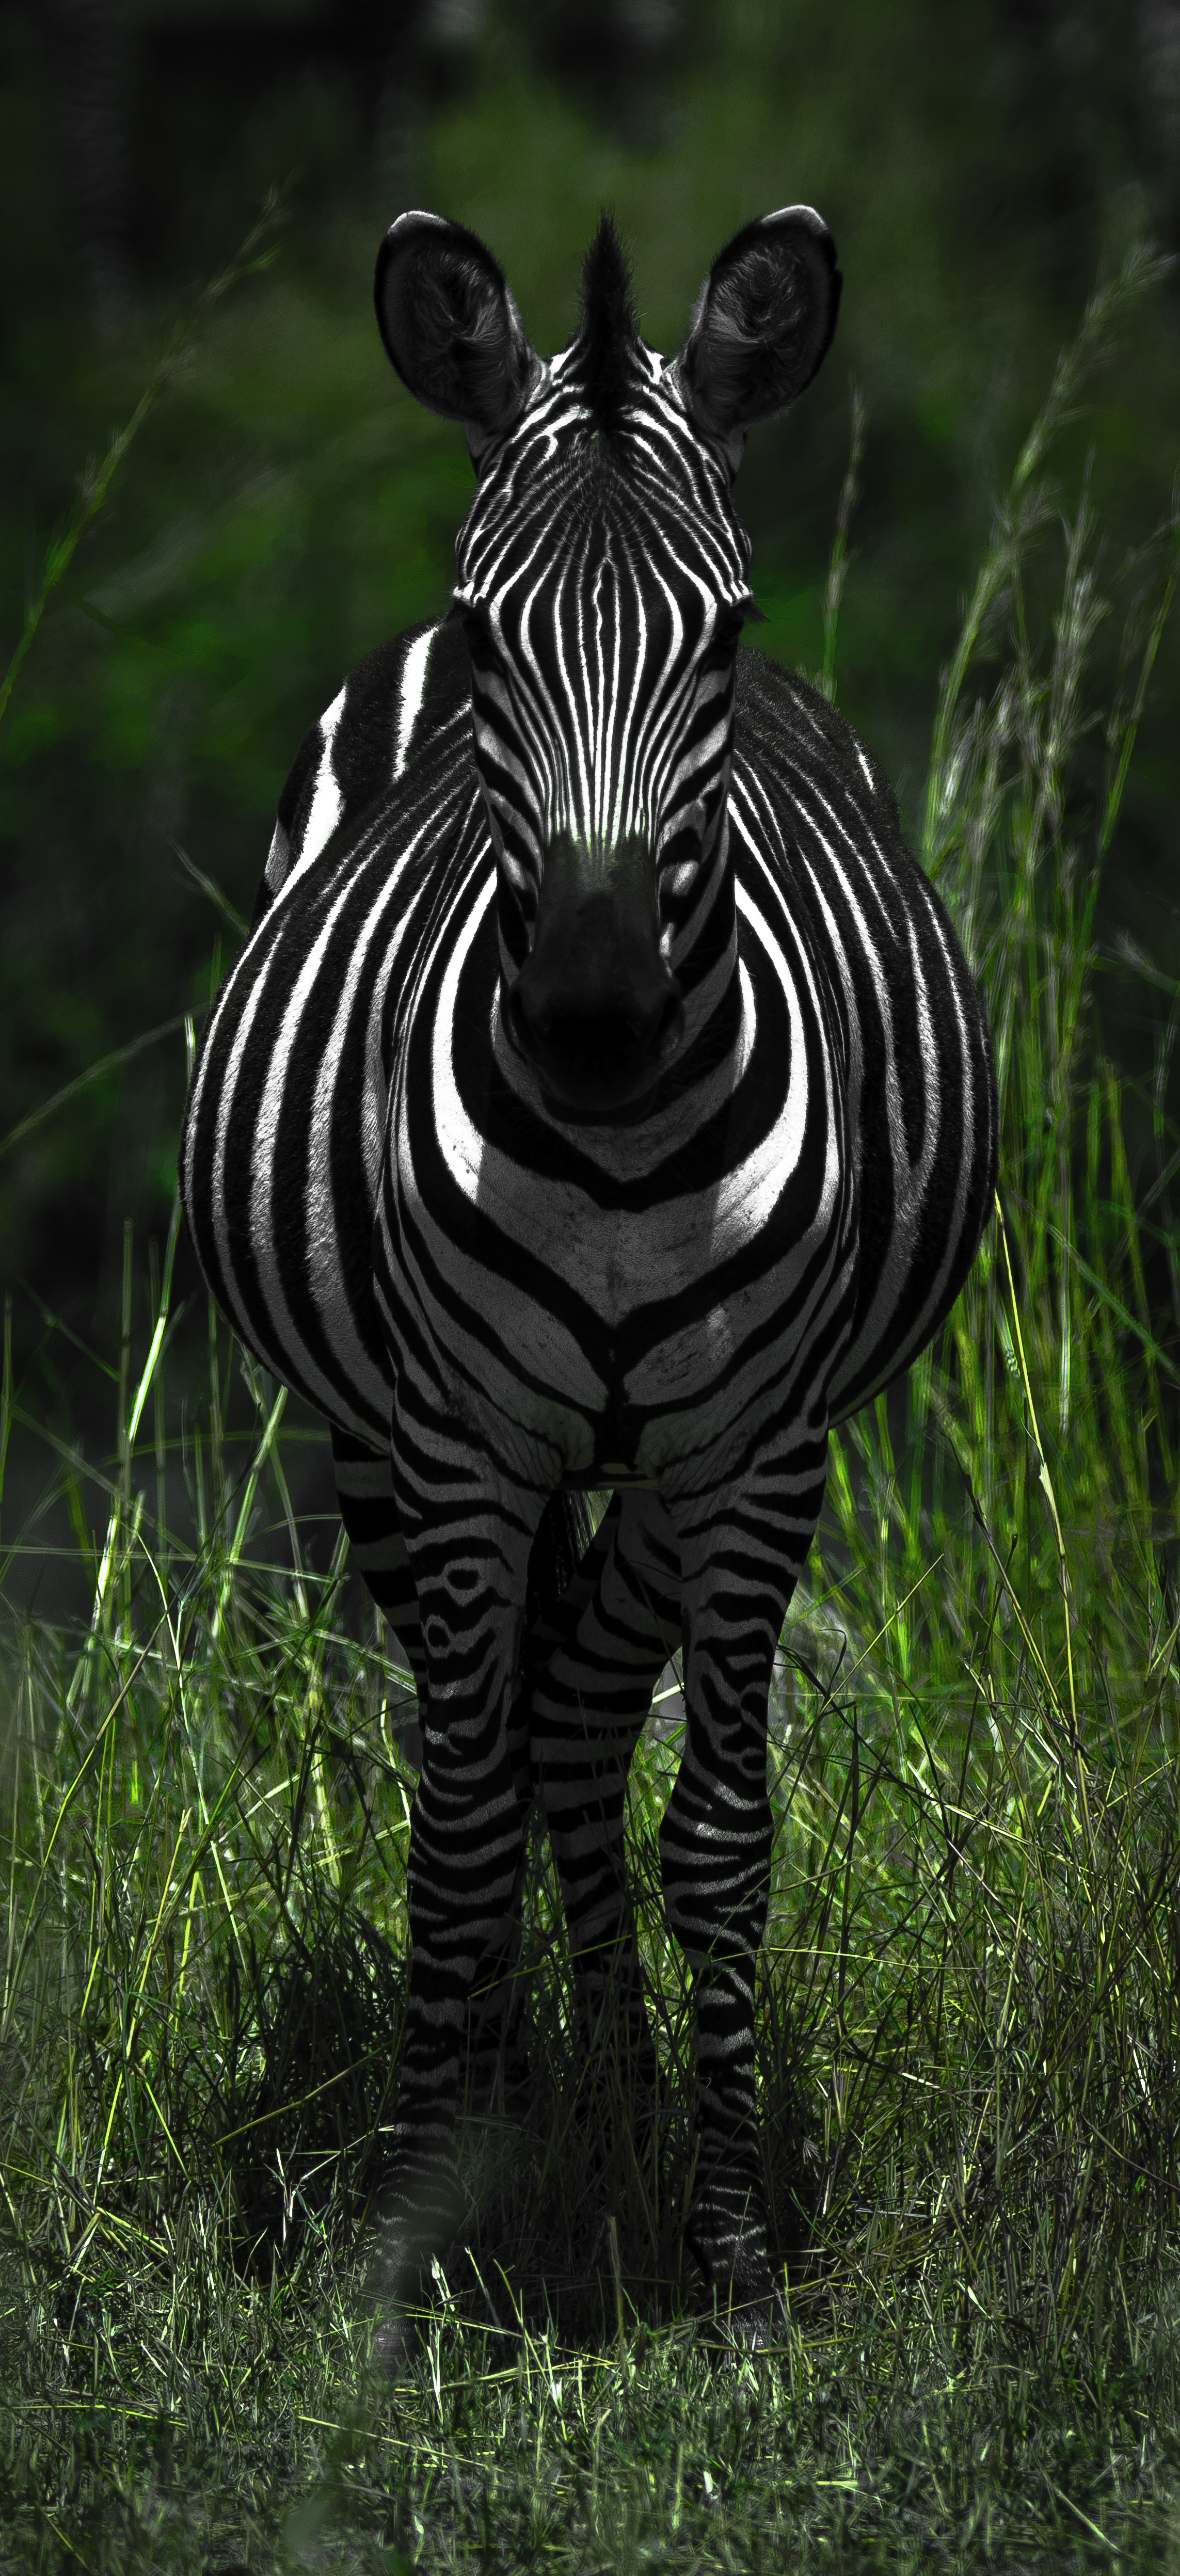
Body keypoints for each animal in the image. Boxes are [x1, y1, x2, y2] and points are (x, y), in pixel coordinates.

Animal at [182, 203, 997, 2356]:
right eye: (489, 641)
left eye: (721, 631)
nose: (598, 1020)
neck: (621, 1155)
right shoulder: (454, 1445)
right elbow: (451, 1831)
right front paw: (400, 2233)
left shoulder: (757, 1448)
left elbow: (712, 1832)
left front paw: (725, 2264)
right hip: (384, 1447)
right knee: (493, 1739)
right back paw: (505, 2097)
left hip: (666, 1463)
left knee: (570, 1706)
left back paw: (609, 2102)